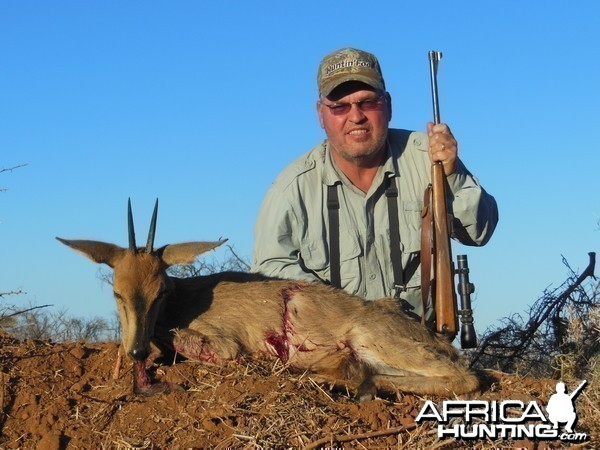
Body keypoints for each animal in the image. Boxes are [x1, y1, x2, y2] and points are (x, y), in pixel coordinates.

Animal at [55, 200, 478, 398]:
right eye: (117, 292)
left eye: (161, 291)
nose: (137, 351)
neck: (182, 300)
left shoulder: (223, 344)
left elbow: (183, 341)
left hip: (372, 339)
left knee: (465, 377)